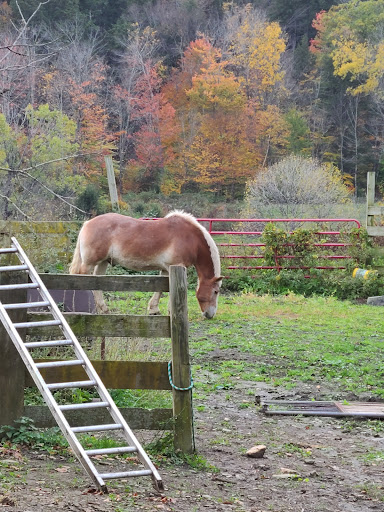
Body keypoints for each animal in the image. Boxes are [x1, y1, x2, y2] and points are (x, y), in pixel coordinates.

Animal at [70, 210, 222, 318]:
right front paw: (170, 310)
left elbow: (160, 289)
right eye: (215, 291)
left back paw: (103, 309)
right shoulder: (175, 267)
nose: (210, 314)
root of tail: (87, 224)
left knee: (96, 283)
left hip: (103, 262)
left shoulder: (167, 269)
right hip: (89, 263)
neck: (191, 238)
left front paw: (154, 310)